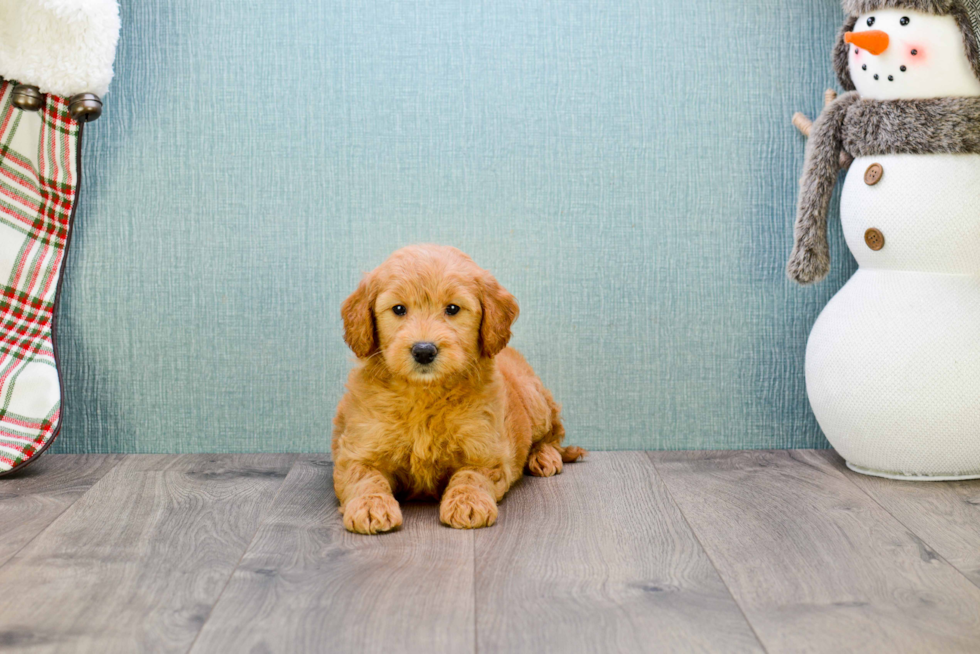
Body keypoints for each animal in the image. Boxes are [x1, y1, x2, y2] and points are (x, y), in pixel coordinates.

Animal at [334, 243, 584, 536]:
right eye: (398, 309)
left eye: (452, 308)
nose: (424, 350)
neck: (425, 393)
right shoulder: (357, 451)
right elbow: (365, 476)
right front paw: (370, 506)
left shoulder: (486, 452)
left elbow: (470, 476)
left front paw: (468, 503)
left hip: (535, 401)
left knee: (553, 432)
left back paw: (544, 456)